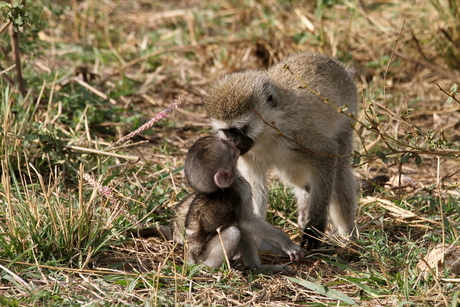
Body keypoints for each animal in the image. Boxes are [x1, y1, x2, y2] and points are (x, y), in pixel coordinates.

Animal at [133, 136, 304, 274]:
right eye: (231, 150)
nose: (232, 142)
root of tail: (189, 258)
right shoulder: (242, 188)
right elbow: (246, 221)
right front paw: (285, 241)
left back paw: (258, 268)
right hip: (202, 257)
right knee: (235, 231)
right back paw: (209, 269)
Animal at [205, 51, 360, 251]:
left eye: (240, 129)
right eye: (227, 131)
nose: (231, 143)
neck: (267, 134)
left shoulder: (298, 135)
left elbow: (328, 154)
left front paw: (314, 231)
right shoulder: (248, 155)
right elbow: (254, 188)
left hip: (347, 120)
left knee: (339, 177)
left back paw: (347, 233)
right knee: (298, 177)